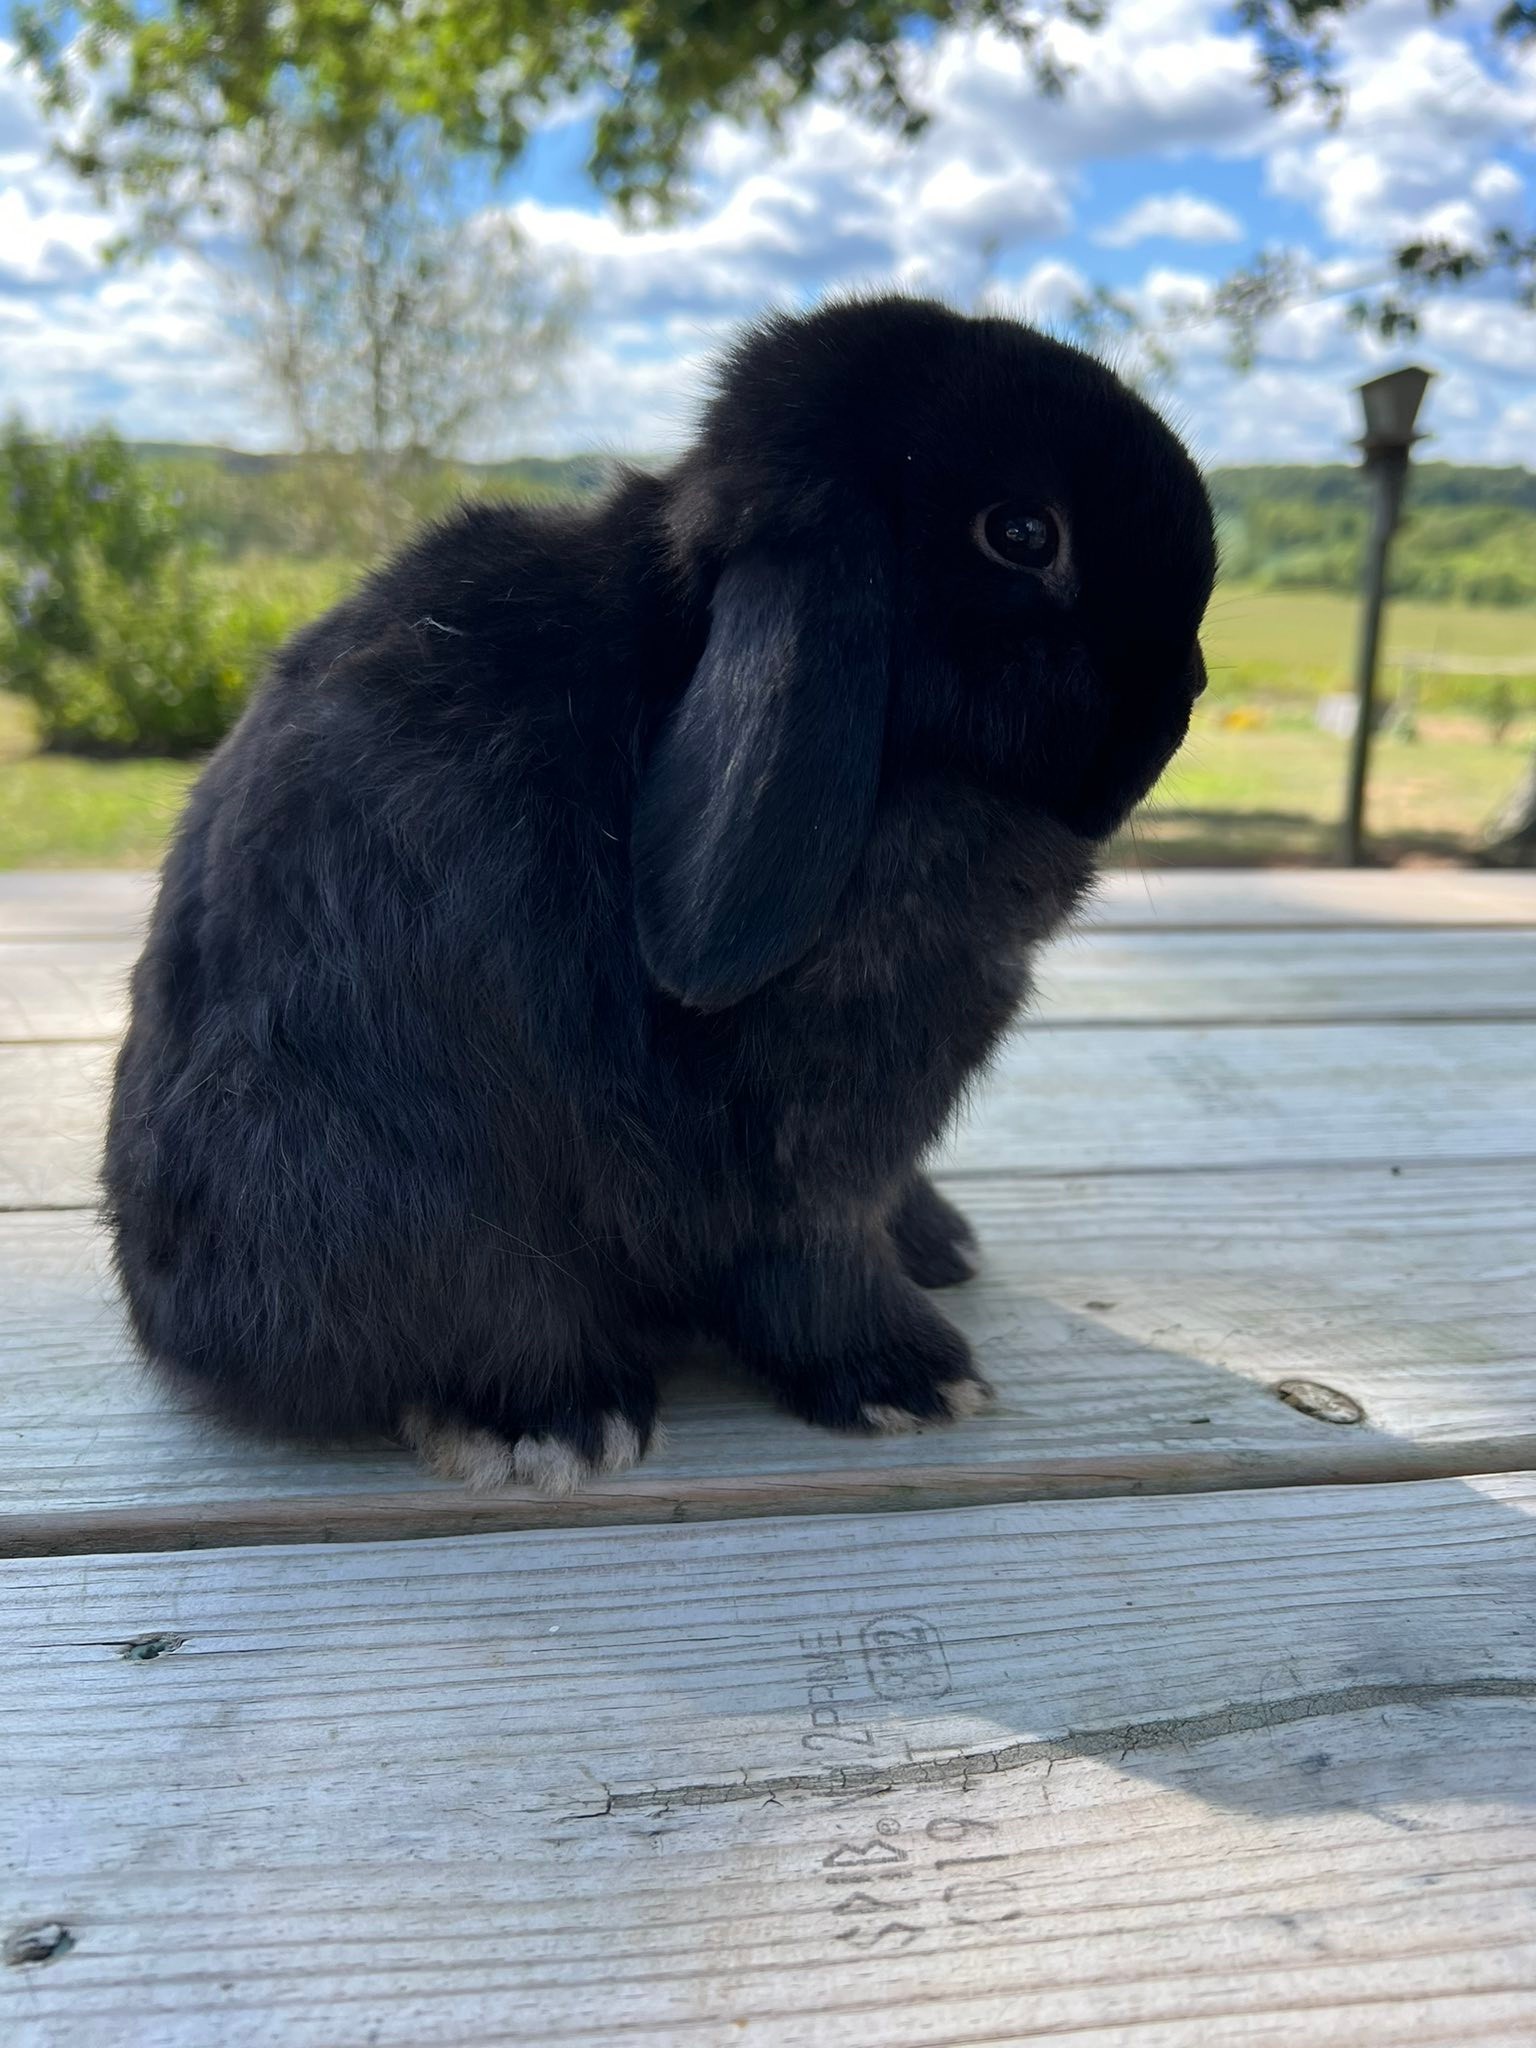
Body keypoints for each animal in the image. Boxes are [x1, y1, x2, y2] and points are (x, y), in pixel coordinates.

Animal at [104, 294, 1215, 1495]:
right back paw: (561, 1418)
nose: (1188, 690)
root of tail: (161, 1311)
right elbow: (813, 1256)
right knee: (471, 1299)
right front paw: (908, 1379)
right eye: (1021, 534)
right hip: (376, 1167)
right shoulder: (809, 1140)